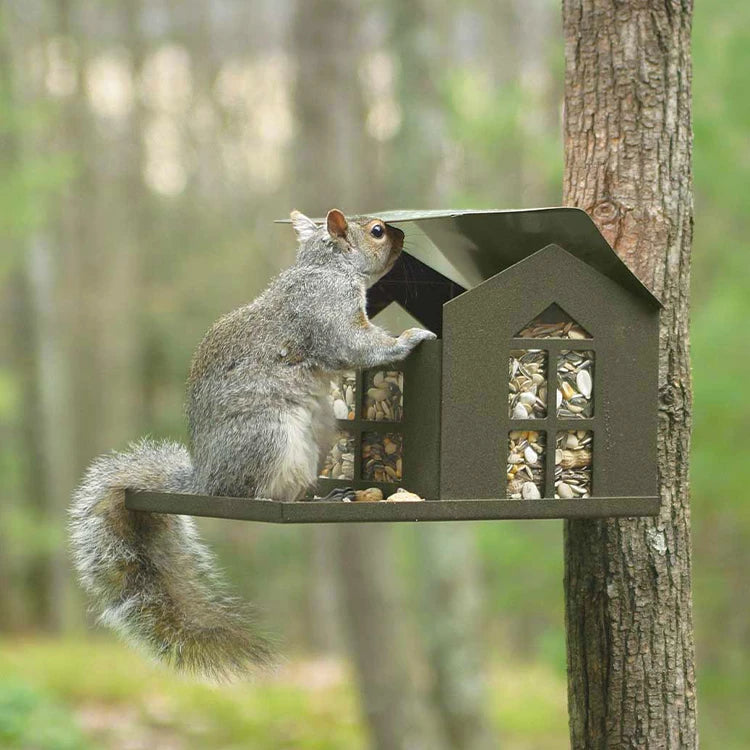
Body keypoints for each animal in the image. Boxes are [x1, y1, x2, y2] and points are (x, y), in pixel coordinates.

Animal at [69, 208, 436, 681]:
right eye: (376, 231)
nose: (404, 234)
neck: (327, 267)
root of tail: (206, 481)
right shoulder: (327, 311)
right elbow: (356, 346)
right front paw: (409, 339)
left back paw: (324, 496)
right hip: (268, 434)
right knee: (252, 491)